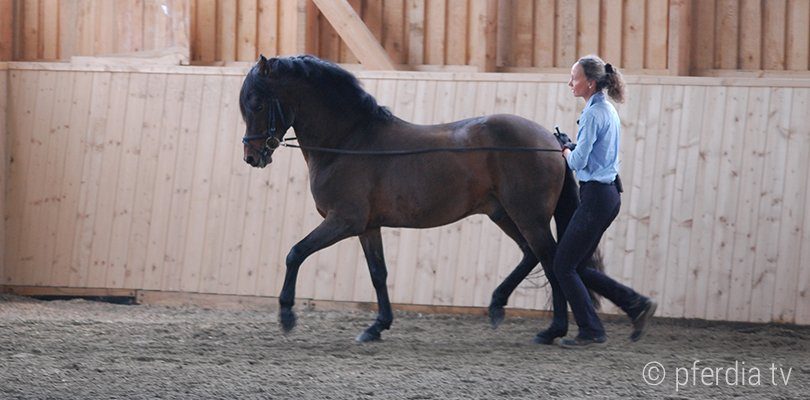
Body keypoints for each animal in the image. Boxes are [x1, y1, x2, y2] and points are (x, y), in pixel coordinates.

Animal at [237, 54, 596, 342]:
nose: (252, 157)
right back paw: (497, 306)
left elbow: (295, 253)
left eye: (258, 103)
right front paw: (377, 326)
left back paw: (553, 330)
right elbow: (378, 273)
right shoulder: (367, 227)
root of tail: (551, 140)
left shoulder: (343, 221)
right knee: (531, 255)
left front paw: (286, 315)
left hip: (528, 217)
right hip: (503, 213)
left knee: (551, 260)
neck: (349, 141)